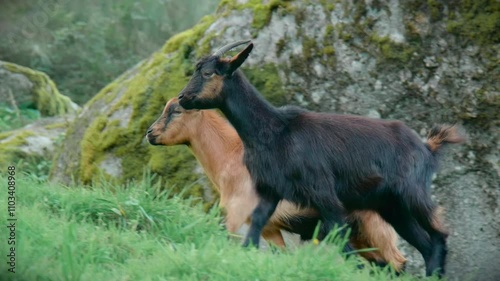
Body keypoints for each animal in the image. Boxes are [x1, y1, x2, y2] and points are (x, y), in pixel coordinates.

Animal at [146, 98, 408, 270]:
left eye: (176, 110)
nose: (150, 133)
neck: (232, 156)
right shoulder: (270, 228)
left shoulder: (236, 217)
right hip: (361, 236)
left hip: (376, 227)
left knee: (398, 263)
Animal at [177, 40, 464, 276]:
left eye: (208, 72)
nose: (182, 98)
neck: (274, 130)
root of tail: (427, 147)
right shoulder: (270, 190)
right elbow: (255, 227)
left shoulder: (324, 194)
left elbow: (343, 243)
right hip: (392, 207)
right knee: (425, 245)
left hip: (411, 194)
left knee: (439, 235)